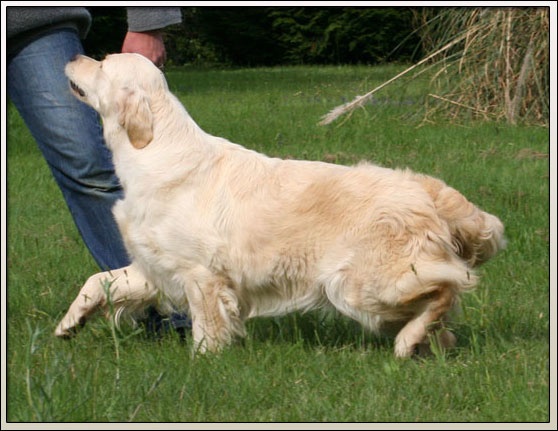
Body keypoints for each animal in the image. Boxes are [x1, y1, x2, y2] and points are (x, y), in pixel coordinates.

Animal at [55, 53, 506, 358]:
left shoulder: (201, 274)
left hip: (362, 285)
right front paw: (70, 323)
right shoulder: (155, 265)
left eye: (102, 63)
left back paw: (408, 341)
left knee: (450, 286)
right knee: (442, 320)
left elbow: (206, 329)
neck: (154, 149)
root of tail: (427, 190)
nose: (73, 56)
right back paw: (418, 345)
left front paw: (203, 363)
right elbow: (98, 281)